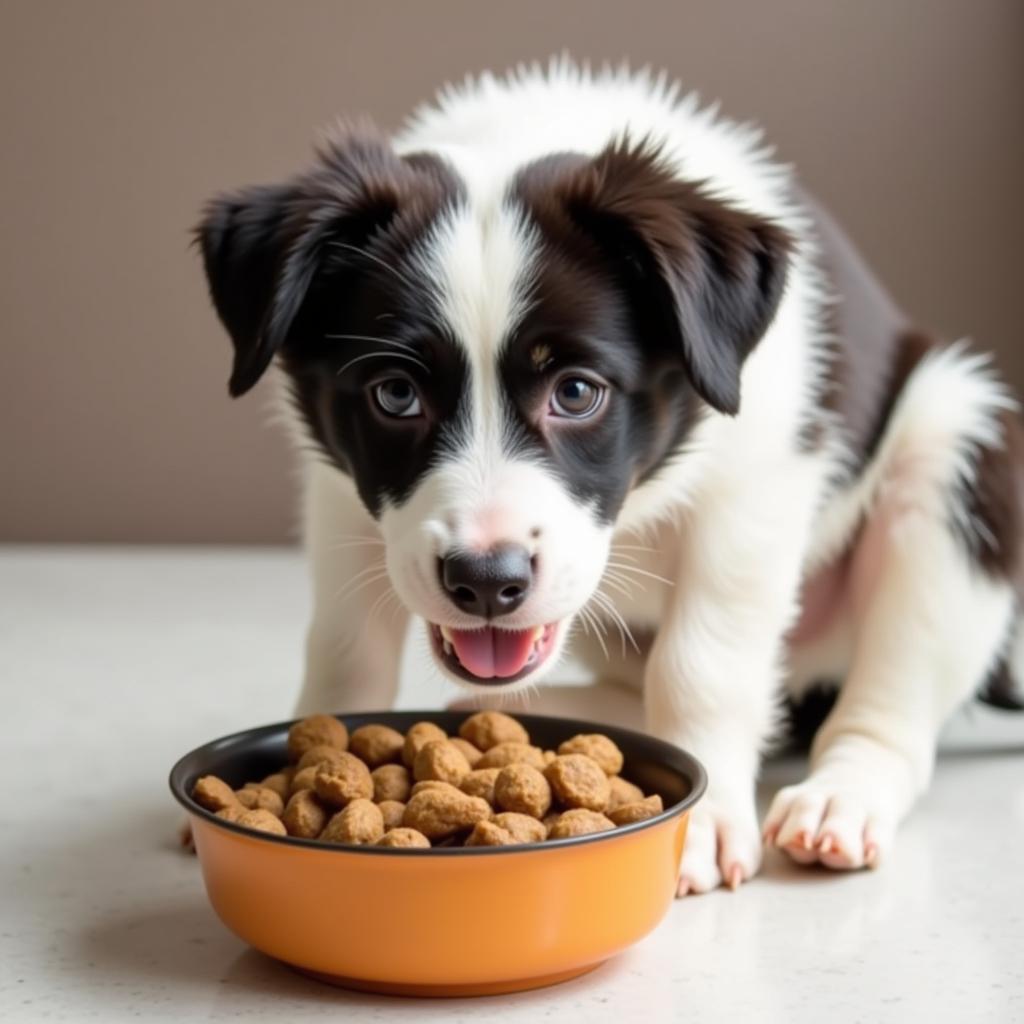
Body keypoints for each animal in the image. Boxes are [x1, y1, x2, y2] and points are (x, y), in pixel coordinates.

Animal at [195, 59, 1019, 892]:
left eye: (577, 392)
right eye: (395, 394)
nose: (485, 583)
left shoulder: (757, 487)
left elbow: (702, 662)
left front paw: (703, 823)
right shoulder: (338, 493)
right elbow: (345, 644)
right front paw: (317, 737)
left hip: (956, 446)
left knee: (893, 697)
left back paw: (842, 797)